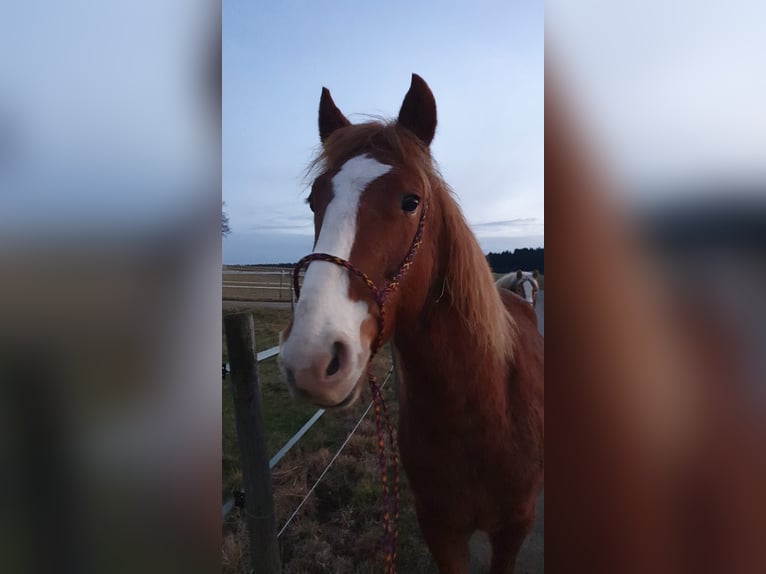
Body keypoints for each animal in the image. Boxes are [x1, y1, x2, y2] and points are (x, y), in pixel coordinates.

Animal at [278, 74, 544, 573]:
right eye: (312, 200)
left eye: (411, 200)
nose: (310, 359)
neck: (481, 410)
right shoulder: (439, 529)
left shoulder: (514, 528)